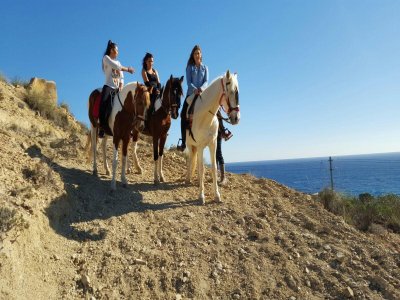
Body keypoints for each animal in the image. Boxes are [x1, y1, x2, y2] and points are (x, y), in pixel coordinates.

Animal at [185, 70, 239, 204]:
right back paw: (188, 178)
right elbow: (201, 168)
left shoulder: (213, 144)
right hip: (190, 144)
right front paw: (201, 196)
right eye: (231, 91)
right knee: (191, 160)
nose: (236, 118)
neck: (205, 116)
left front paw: (217, 195)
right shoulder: (199, 145)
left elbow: (214, 168)